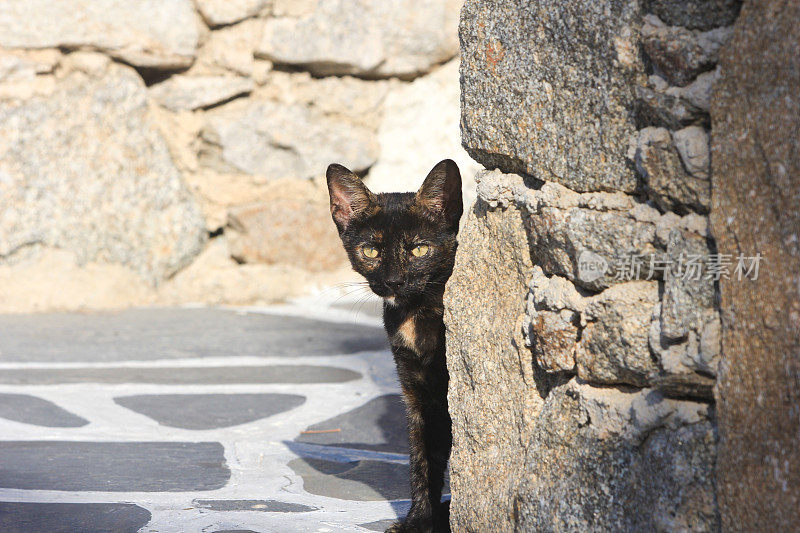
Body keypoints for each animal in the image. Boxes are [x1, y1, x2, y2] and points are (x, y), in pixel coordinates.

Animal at [326, 159, 462, 532]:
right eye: (371, 251)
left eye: (419, 249)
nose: (394, 281)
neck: (416, 314)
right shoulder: (417, 393)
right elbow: (422, 460)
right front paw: (419, 520)